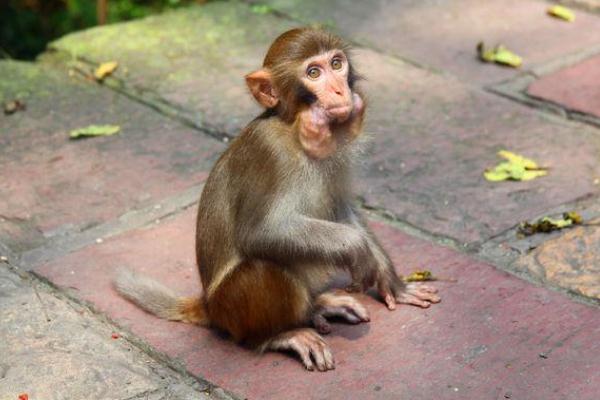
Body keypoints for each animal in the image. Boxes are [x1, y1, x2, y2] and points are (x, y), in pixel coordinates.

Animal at [113, 27, 440, 372]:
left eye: (337, 64)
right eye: (313, 73)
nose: (340, 91)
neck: (294, 131)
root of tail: (209, 305)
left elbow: (340, 210)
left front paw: (392, 281)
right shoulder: (269, 151)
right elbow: (260, 232)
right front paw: (358, 249)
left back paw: (319, 306)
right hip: (232, 308)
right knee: (264, 268)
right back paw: (280, 335)